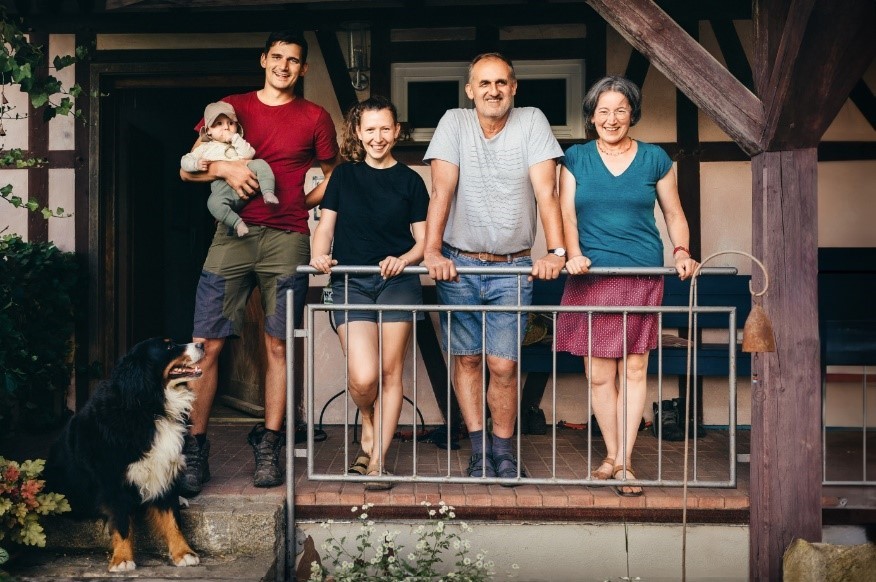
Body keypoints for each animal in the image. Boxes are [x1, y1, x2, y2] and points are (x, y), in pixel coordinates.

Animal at [46, 338, 207, 576]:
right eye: (169, 347)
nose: (202, 345)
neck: (151, 407)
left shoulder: (164, 469)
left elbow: (173, 520)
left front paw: (183, 553)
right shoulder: (114, 479)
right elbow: (122, 522)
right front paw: (122, 559)